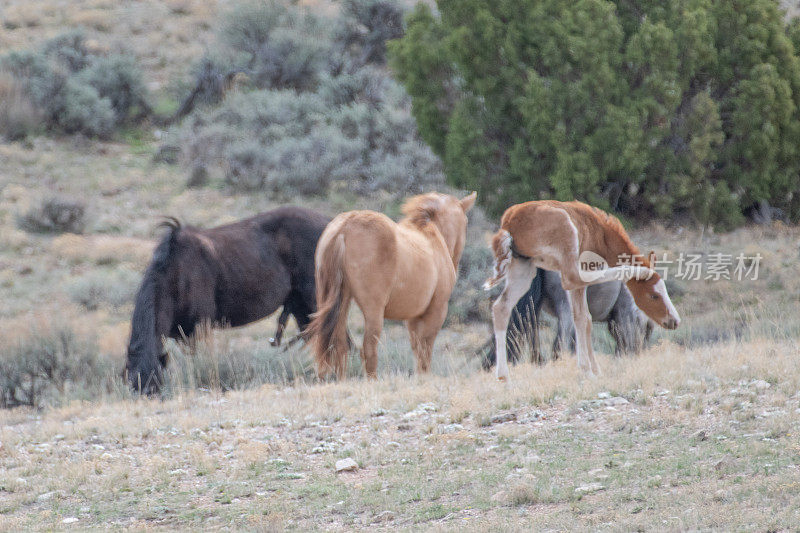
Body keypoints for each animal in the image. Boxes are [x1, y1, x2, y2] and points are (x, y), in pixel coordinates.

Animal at [125, 206, 328, 392]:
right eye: (132, 385)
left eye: (154, 385)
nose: (148, 397)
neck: (176, 274)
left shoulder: (197, 329)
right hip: (300, 307)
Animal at [308, 191, 476, 378]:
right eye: (466, 222)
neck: (430, 236)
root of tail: (344, 228)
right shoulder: (437, 310)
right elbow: (425, 350)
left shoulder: (413, 318)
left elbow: (417, 349)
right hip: (373, 310)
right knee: (368, 349)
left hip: (339, 303)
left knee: (338, 345)